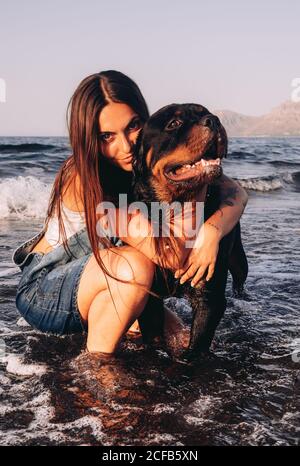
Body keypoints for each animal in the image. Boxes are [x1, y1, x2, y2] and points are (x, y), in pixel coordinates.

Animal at [132, 104, 247, 358]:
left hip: (238, 258)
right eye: (173, 123)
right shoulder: (150, 297)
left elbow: (196, 348)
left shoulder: (209, 299)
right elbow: (153, 336)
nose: (214, 120)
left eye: (205, 112)